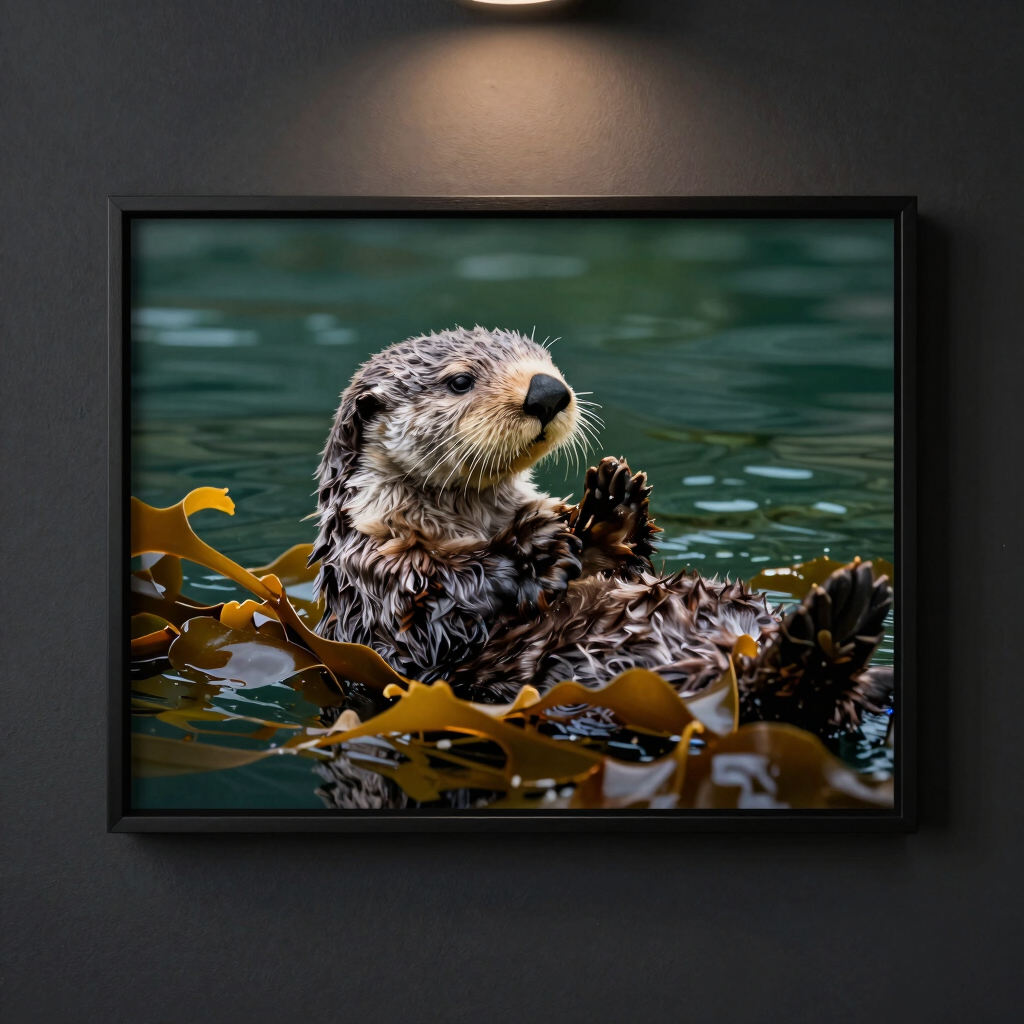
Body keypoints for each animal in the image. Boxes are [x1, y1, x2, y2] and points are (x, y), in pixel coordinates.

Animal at [310, 326, 893, 738]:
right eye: (459, 381)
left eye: (546, 362)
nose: (548, 391)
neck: (473, 517)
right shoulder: (376, 583)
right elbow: (439, 606)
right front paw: (537, 546)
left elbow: (625, 563)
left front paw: (614, 502)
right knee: (770, 693)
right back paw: (840, 614)